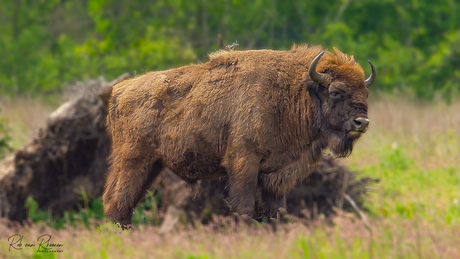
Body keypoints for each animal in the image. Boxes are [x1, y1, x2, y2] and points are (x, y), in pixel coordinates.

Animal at [102, 44, 376, 228]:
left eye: (365, 92)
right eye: (336, 91)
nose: (362, 122)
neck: (293, 92)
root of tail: (119, 91)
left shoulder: (275, 173)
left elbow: (275, 210)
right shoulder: (244, 162)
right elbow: (244, 207)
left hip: (153, 165)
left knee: (125, 202)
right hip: (134, 160)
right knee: (117, 200)